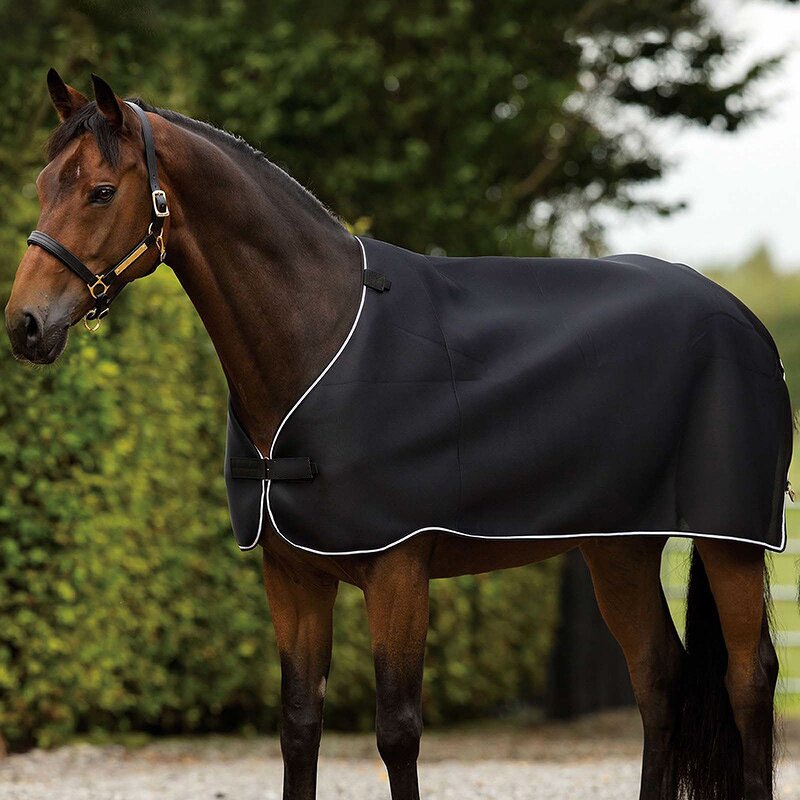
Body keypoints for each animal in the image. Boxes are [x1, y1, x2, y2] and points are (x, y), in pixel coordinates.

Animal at [4, 71, 791, 800]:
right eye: (44, 183)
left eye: (101, 191)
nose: (25, 326)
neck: (319, 338)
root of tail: (743, 319)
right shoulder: (293, 578)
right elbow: (299, 725)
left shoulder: (399, 572)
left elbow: (397, 731)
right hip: (619, 548)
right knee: (659, 679)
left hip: (730, 542)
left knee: (748, 679)